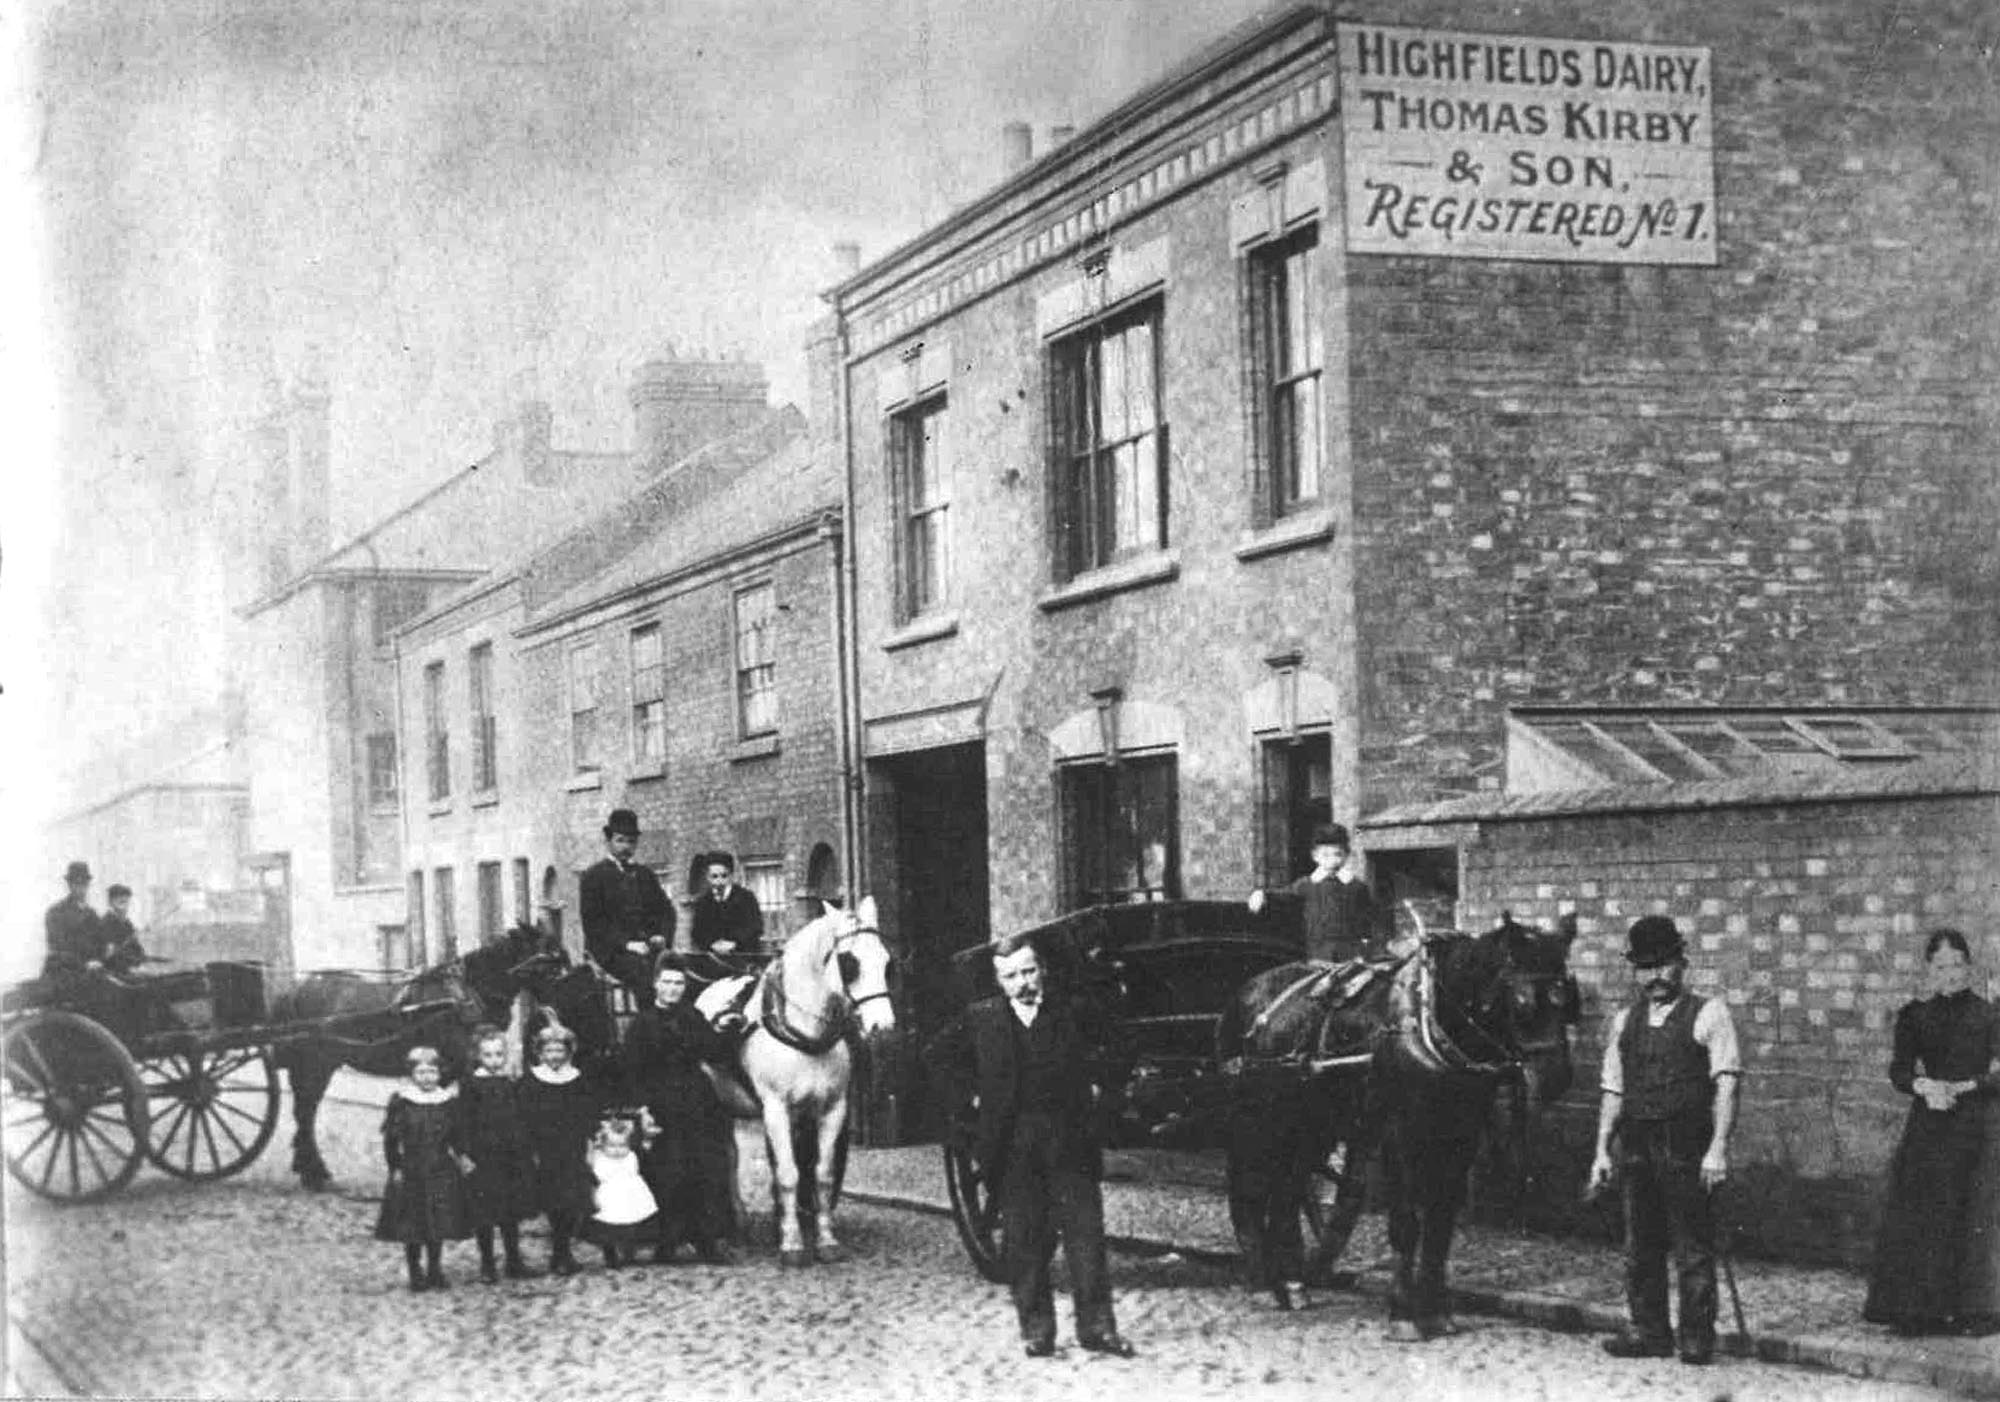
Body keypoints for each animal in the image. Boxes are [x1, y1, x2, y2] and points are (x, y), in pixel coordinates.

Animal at [272, 924, 616, 1184]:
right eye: (551, 961)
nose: (580, 991)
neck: (466, 995)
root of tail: (298, 987)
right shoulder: (465, 1066)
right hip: (316, 1065)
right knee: (305, 1111)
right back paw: (313, 1171)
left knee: (305, 1110)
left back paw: (307, 1167)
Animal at [700, 896, 896, 1272]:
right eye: (849, 963)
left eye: (886, 960)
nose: (883, 1026)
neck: (803, 1032)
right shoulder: (775, 1109)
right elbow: (789, 1174)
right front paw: (791, 1244)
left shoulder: (832, 1109)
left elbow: (821, 1174)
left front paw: (825, 1240)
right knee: (729, 1157)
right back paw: (737, 1221)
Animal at [1216, 908, 1576, 1336]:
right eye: (1522, 1003)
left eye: (1569, 998)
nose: (1556, 1077)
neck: (1431, 1018)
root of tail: (1246, 994)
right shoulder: (1397, 1133)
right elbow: (1406, 1221)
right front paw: (1403, 1313)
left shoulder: (1460, 1135)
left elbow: (1440, 1223)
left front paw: (1436, 1311)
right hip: (1255, 1121)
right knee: (1250, 1191)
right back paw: (1261, 1285)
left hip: (1311, 1125)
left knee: (1288, 1192)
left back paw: (1293, 1285)